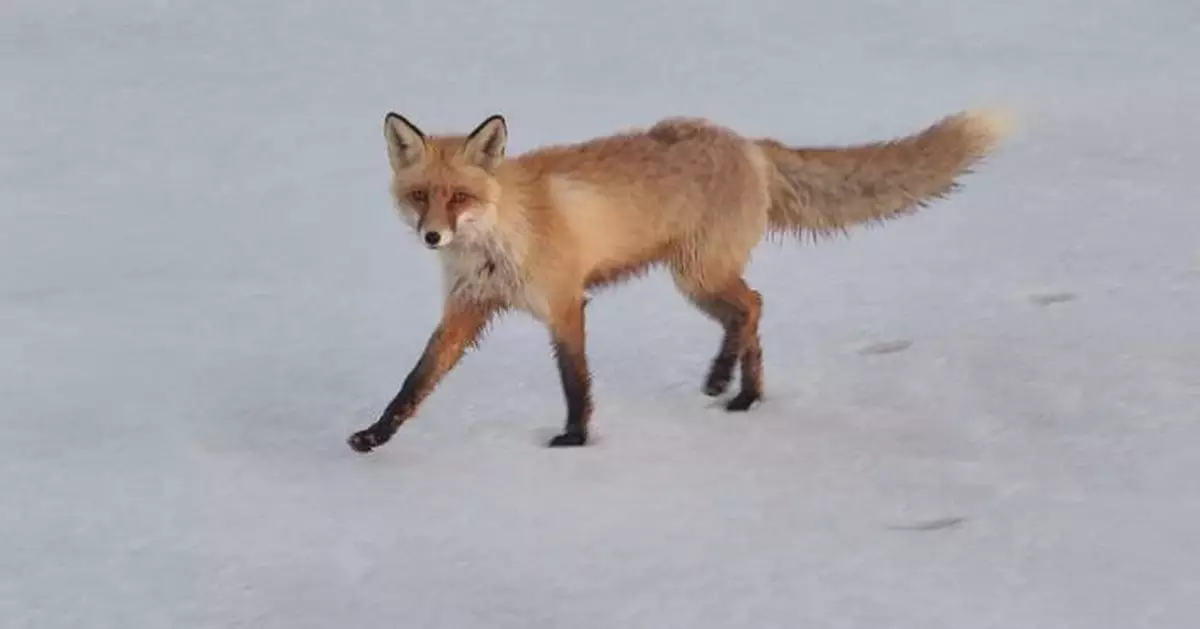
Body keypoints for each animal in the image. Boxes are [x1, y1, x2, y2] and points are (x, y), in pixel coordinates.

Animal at [347, 108, 1012, 453]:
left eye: (460, 197)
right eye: (420, 198)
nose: (432, 237)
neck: (501, 232)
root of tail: (749, 143)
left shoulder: (565, 303)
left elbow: (575, 380)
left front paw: (575, 438)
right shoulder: (467, 309)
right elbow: (415, 381)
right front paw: (376, 436)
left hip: (697, 275)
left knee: (753, 304)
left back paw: (726, 383)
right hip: (696, 280)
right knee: (751, 313)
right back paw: (745, 393)